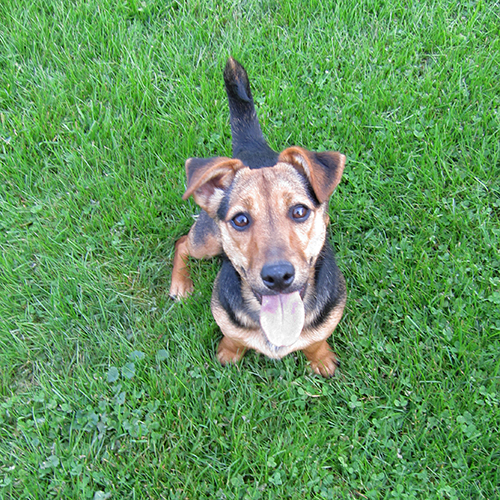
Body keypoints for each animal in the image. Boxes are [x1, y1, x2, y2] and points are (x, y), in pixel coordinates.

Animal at [170, 56, 346, 376]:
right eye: (240, 219)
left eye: (299, 211)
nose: (278, 277)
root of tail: (252, 147)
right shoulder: (225, 315)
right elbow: (232, 335)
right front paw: (229, 352)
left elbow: (316, 339)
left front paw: (321, 358)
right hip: (207, 242)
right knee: (182, 243)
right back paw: (180, 283)